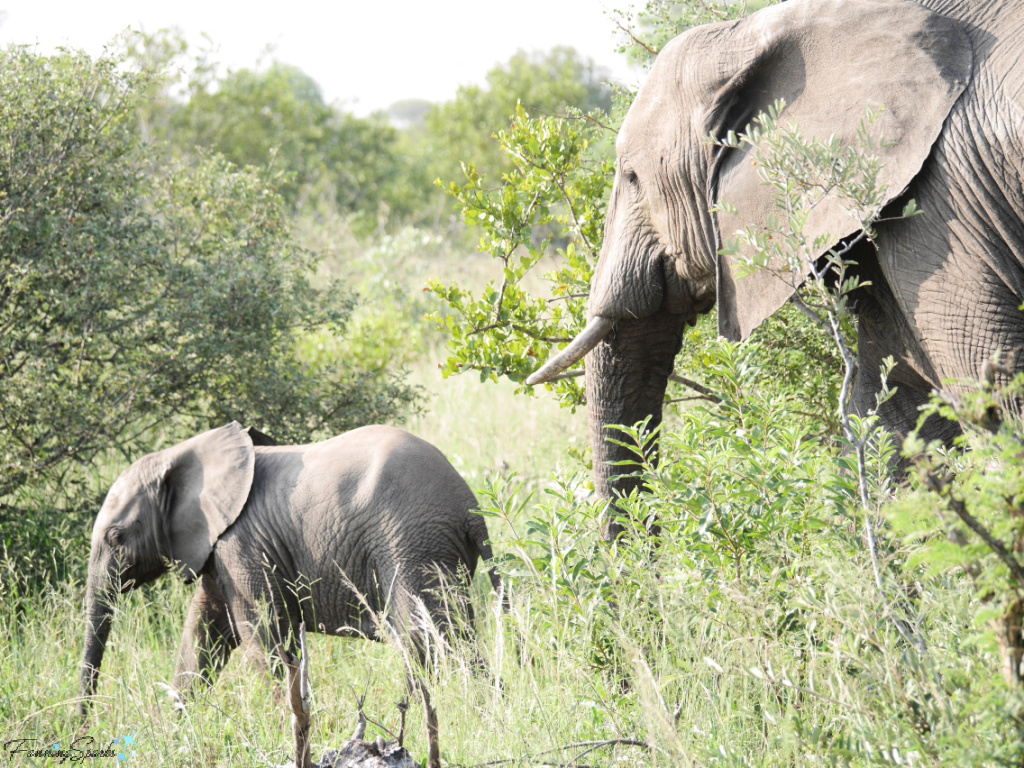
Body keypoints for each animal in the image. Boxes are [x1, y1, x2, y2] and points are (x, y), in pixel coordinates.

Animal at [79, 421, 495, 716]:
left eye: (116, 537)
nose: (85, 723)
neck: (184, 453)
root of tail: (470, 506)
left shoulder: (241, 545)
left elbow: (262, 633)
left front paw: (290, 723)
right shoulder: (218, 551)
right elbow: (203, 630)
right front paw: (175, 727)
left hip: (411, 544)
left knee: (425, 637)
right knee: (453, 637)